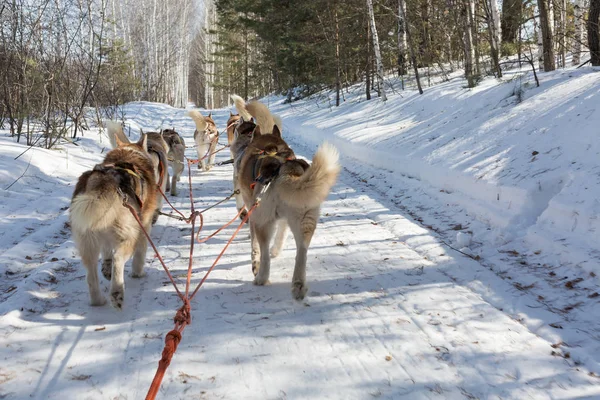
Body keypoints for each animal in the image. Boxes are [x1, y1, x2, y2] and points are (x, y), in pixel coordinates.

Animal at [69, 130, 159, 308]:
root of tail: (104, 180)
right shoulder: (144, 226)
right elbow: (140, 254)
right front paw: (138, 273)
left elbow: (106, 253)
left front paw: (106, 267)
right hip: (128, 236)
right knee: (118, 259)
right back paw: (117, 293)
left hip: (87, 242)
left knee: (91, 275)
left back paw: (98, 300)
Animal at [232, 99, 340, 300]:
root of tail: (285, 169)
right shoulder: (283, 219)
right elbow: (281, 235)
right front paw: (277, 250)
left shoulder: (253, 212)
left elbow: (255, 247)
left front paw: (256, 261)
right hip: (305, 221)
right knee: (302, 251)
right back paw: (298, 285)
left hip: (264, 220)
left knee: (264, 254)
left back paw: (261, 278)